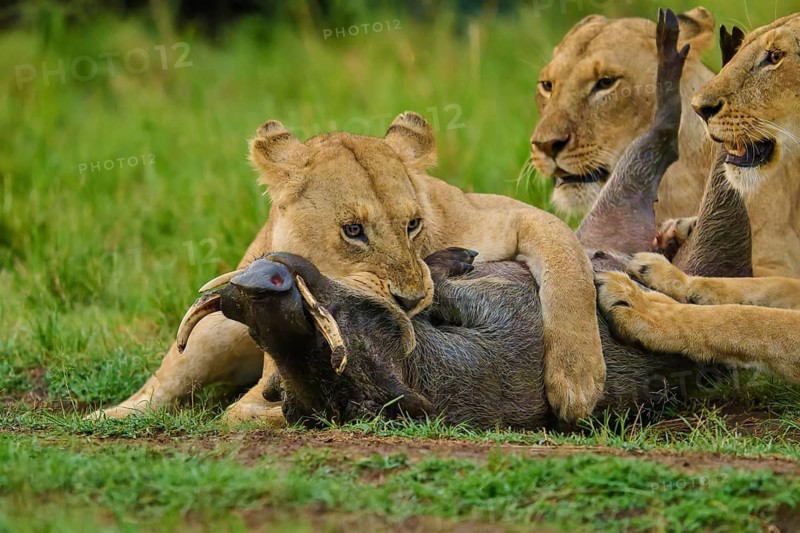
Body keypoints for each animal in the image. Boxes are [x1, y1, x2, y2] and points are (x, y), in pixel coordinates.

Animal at [93, 112, 605, 423]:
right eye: (353, 230)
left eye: (413, 223)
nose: (412, 299)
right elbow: (244, 413)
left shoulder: (509, 215)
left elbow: (569, 263)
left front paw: (577, 381)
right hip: (213, 332)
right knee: (165, 380)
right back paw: (108, 416)